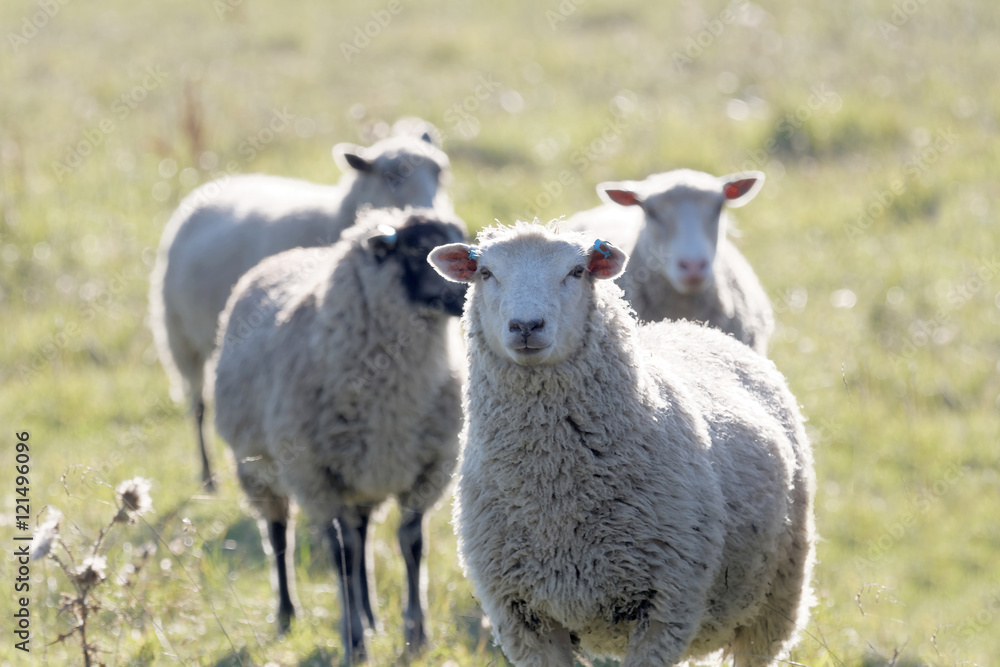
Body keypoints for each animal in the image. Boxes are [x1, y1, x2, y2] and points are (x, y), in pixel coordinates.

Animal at [148, 126, 454, 490]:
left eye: (440, 171)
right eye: (391, 176)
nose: (433, 214)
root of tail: (216, 183)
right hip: (180, 338)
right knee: (197, 406)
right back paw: (208, 478)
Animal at [212, 210, 468, 664]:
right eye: (421, 248)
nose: (470, 291)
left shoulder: (427, 470)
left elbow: (411, 544)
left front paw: (416, 635)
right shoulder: (317, 477)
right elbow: (342, 556)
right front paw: (354, 642)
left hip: (363, 475)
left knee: (361, 535)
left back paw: (370, 614)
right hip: (260, 468)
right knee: (281, 536)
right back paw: (287, 616)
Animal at [428, 223, 812, 667]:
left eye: (577, 271)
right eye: (486, 272)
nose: (526, 325)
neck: (554, 493)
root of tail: (691, 326)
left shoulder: (666, 607)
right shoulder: (522, 615)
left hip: (775, 601)